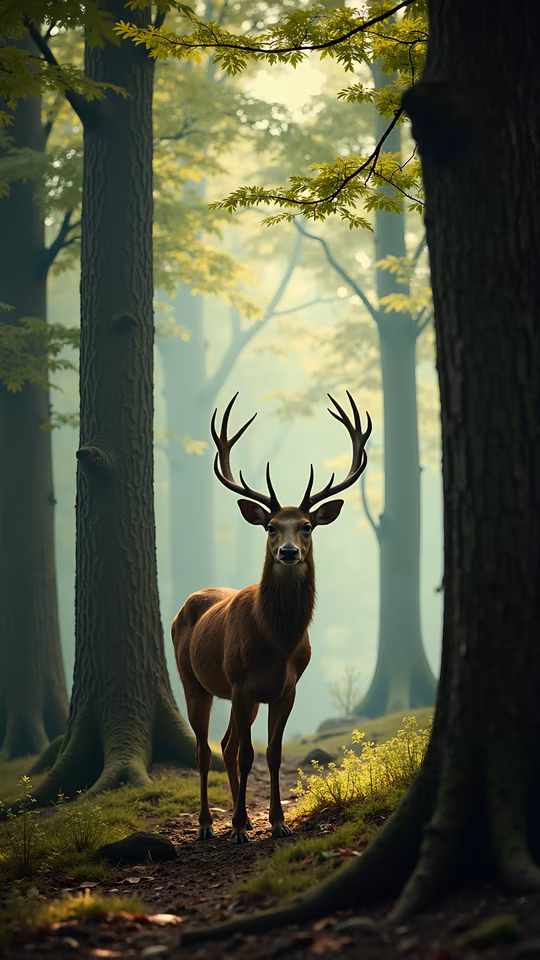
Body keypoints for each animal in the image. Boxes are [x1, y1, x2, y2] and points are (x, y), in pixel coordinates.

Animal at [172, 391, 371, 844]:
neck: (277, 641)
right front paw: (239, 830)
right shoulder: (242, 682)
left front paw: (277, 823)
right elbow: (250, 755)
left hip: (231, 694)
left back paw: (241, 818)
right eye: (270, 527)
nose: (289, 552)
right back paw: (209, 825)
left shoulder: (286, 687)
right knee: (204, 749)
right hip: (195, 681)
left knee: (225, 744)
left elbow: (274, 754)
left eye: (308, 525)